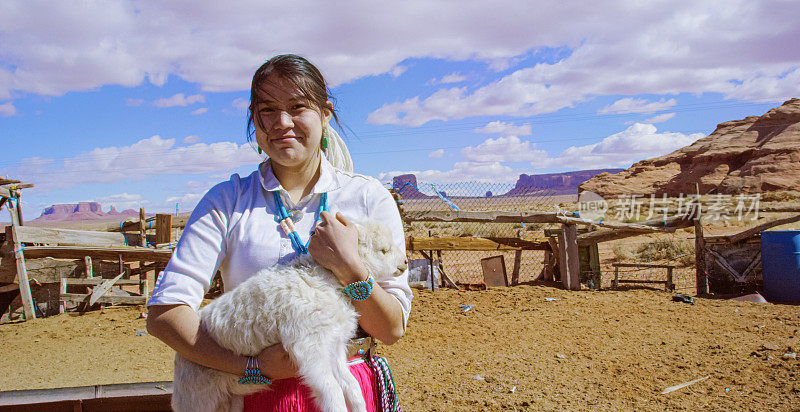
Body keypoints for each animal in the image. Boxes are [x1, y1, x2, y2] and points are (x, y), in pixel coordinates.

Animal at [170, 220, 406, 412]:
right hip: (197, 396)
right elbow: (332, 391)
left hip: (228, 399)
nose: (404, 263)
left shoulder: (333, 345)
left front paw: (359, 406)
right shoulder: (309, 346)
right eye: (383, 250)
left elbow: (351, 385)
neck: (324, 280)